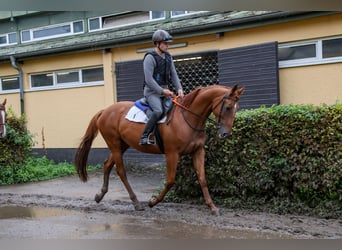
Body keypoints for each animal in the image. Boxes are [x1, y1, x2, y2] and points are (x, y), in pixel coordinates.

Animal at [75, 84, 243, 215]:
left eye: (237, 108)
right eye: (228, 107)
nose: (226, 134)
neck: (188, 118)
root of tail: (104, 110)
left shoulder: (198, 151)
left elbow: (202, 179)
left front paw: (212, 207)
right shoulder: (172, 154)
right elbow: (170, 181)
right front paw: (153, 202)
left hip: (123, 145)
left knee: (107, 164)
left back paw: (100, 195)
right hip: (115, 144)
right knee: (121, 171)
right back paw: (136, 203)